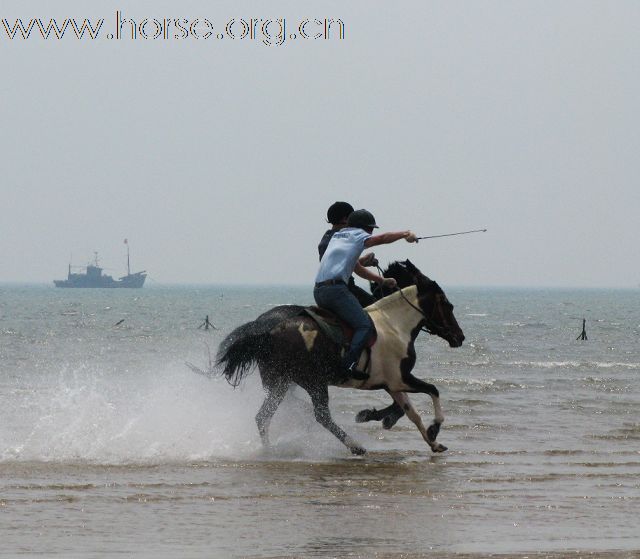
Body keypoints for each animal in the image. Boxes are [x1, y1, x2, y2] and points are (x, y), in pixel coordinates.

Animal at [212, 262, 462, 456]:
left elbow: (412, 413)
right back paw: (355, 446)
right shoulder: (400, 379)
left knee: (263, 416)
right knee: (320, 415)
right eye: (448, 305)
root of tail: (269, 331)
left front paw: (434, 443)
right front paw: (434, 428)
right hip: (313, 382)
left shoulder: (392, 384)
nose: (460, 337)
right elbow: (432, 390)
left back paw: (269, 450)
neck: (394, 324)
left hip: (280, 383)